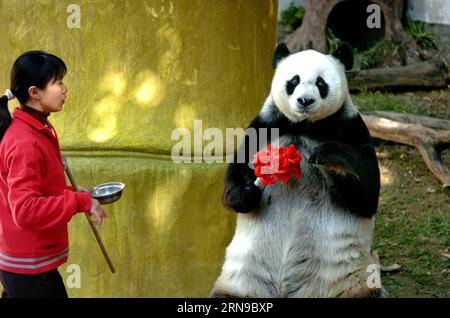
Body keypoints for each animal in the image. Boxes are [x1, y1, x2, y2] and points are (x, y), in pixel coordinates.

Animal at [212, 42, 384, 298]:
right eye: (294, 80)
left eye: (321, 83)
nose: (305, 101)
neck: (305, 127)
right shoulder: (264, 127)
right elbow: (236, 173)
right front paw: (248, 193)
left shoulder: (351, 128)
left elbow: (366, 196)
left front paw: (328, 157)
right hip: (242, 280)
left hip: (351, 281)